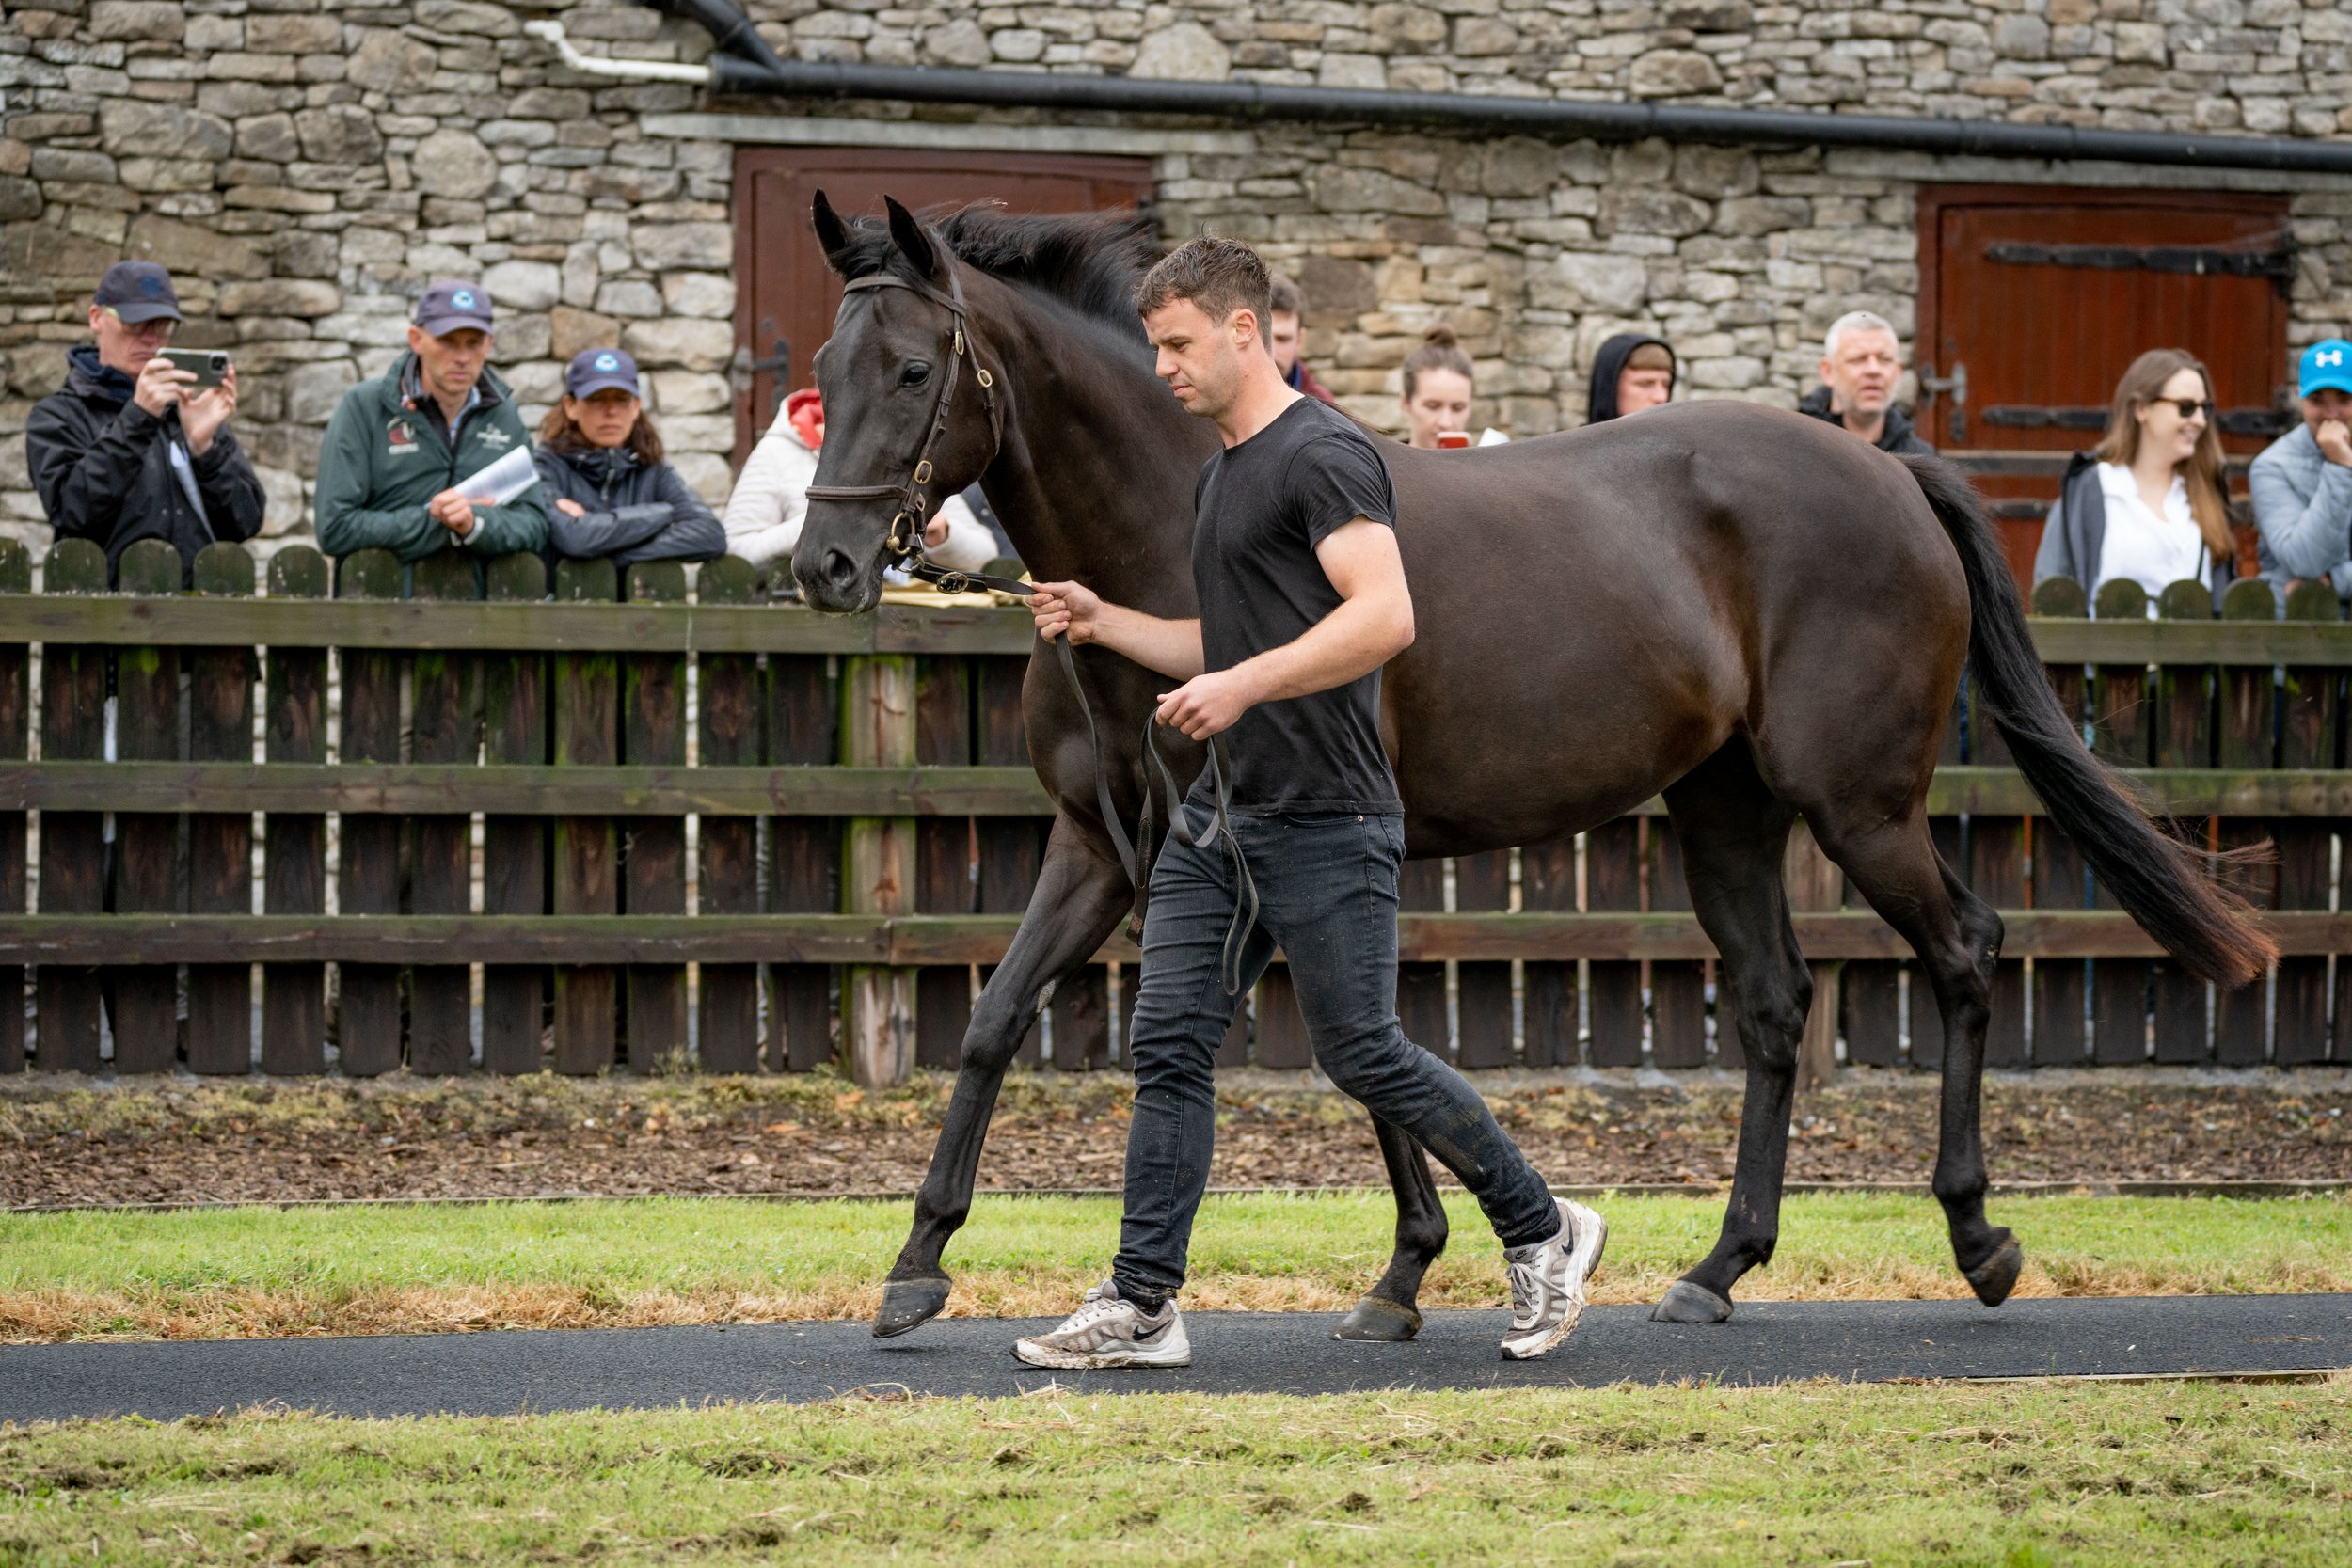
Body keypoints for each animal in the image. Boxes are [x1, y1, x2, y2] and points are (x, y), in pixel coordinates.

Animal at [795, 196, 2277, 1344]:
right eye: (824, 364)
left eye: (917, 370)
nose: (825, 565)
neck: (1176, 528)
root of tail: (1895, 471)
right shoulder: (1103, 844)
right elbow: (996, 1021)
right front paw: (917, 1264)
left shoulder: (1267, 843)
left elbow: (1355, 1051)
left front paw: (1408, 1268)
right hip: (1724, 811)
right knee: (1776, 1005)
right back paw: (1718, 1267)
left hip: (1858, 803)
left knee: (1965, 951)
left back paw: (1979, 1239)